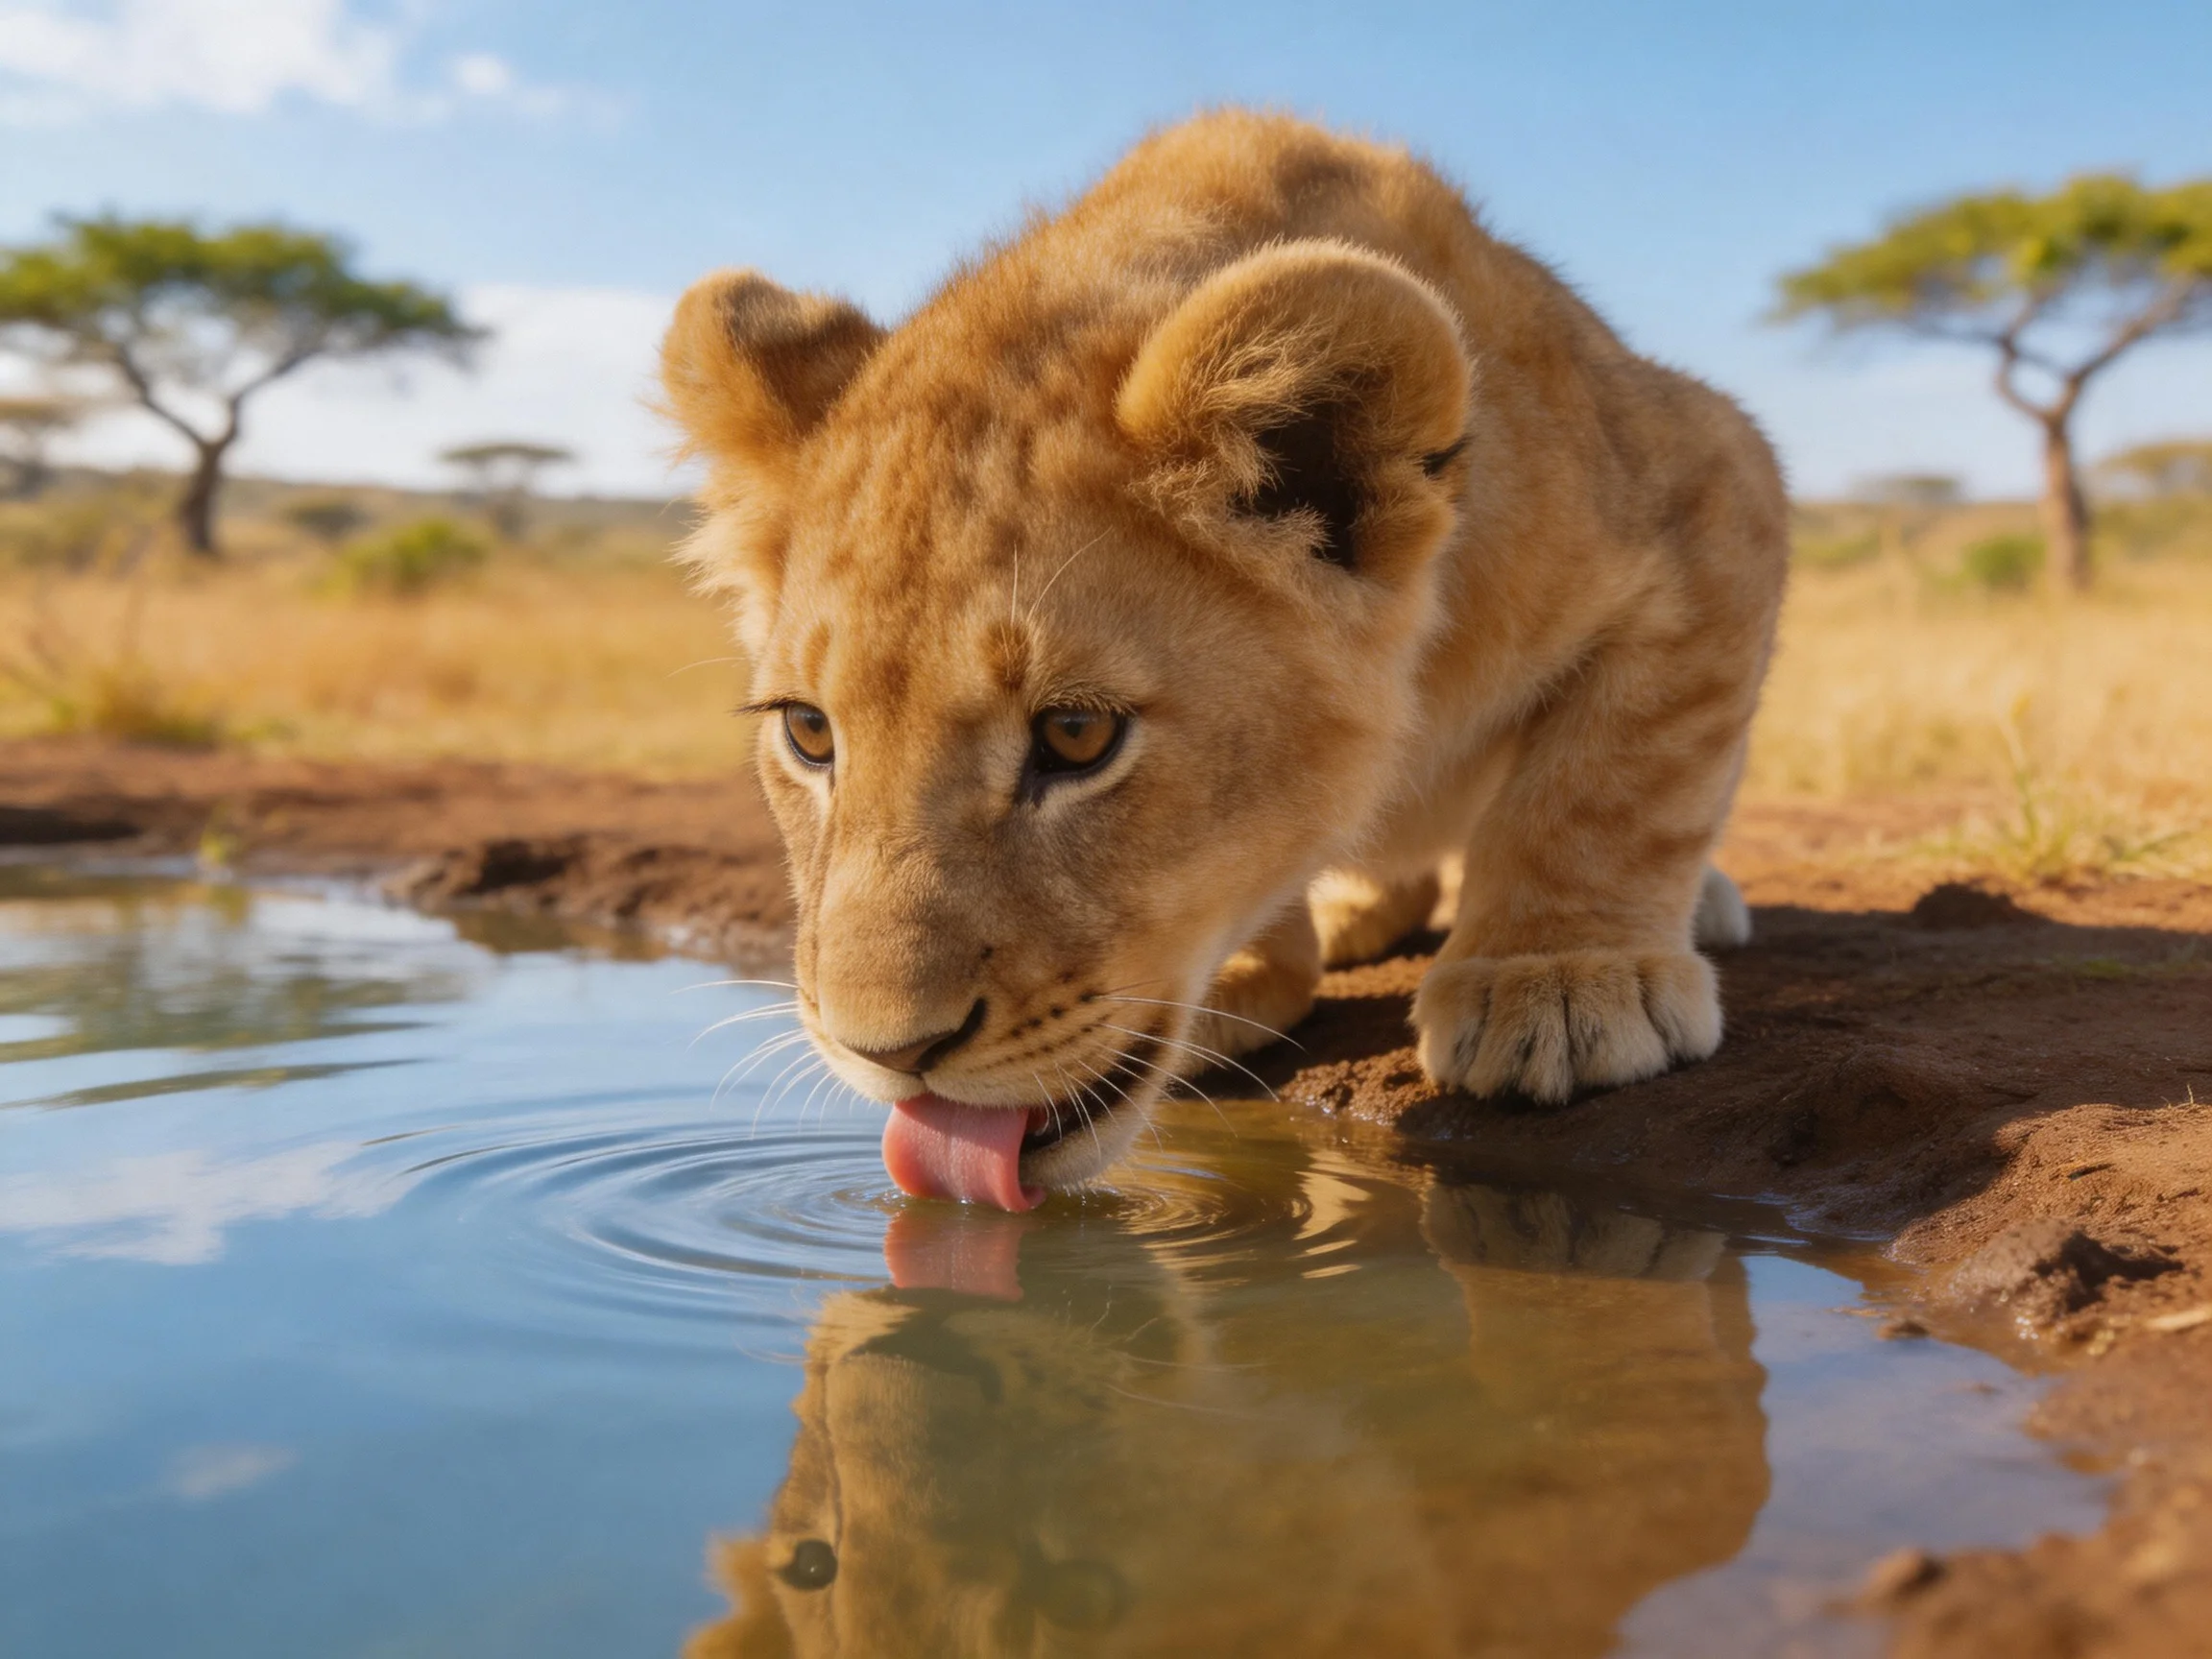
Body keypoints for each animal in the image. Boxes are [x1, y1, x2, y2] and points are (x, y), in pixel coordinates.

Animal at [660, 109, 1787, 1204]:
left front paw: (1560, 982)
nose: (889, 1053)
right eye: (811, 733)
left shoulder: (1710, 476)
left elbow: (1615, 782)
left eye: (1078, 734)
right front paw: (1254, 970)